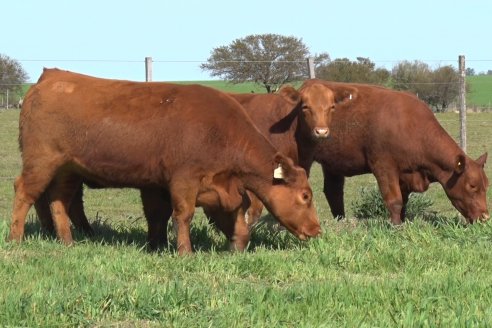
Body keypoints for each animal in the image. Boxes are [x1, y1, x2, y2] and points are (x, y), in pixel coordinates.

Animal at [10, 68, 322, 254]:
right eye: (305, 196)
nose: (317, 229)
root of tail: (51, 77)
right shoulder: (183, 180)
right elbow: (182, 215)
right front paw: (185, 252)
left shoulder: (192, 186)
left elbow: (161, 217)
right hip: (41, 162)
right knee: (25, 193)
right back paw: (16, 239)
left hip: (67, 170)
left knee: (59, 201)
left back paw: (67, 241)